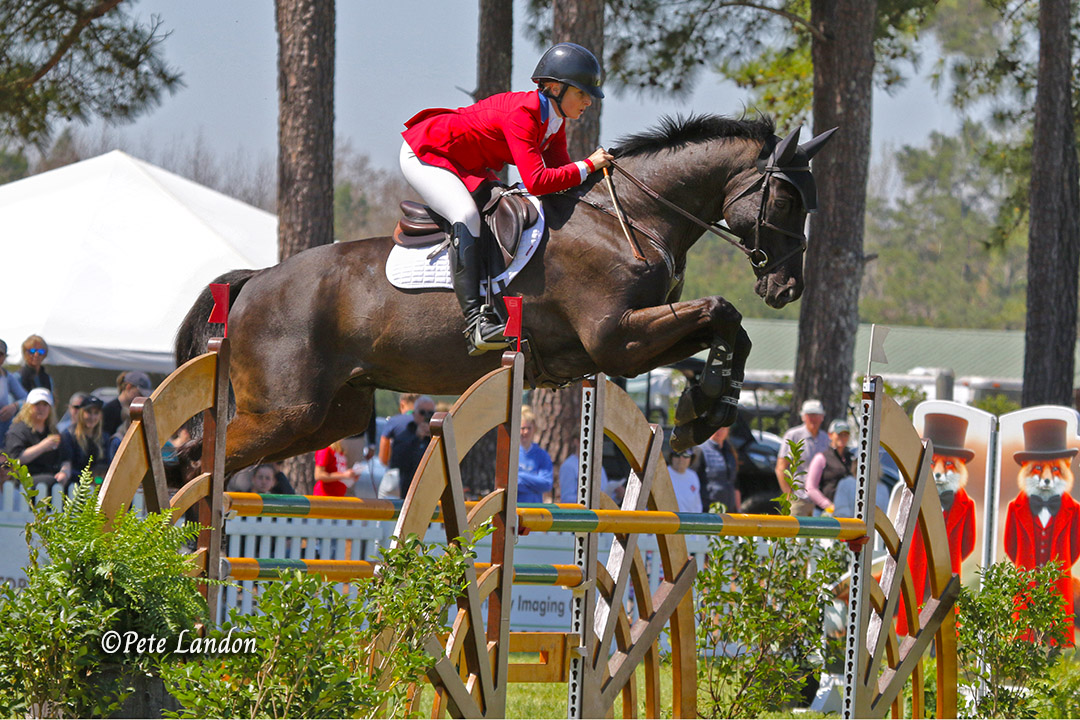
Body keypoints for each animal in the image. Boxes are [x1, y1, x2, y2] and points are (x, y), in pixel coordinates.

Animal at [175, 114, 834, 475]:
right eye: (787, 199)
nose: (788, 287)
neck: (630, 217)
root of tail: (254, 281)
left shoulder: (628, 343)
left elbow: (729, 329)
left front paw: (706, 408)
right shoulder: (617, 338)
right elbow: (721, 311)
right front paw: (704, 407)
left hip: (334, 415)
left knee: (202, 456)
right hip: (285, 413)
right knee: (202, 461)